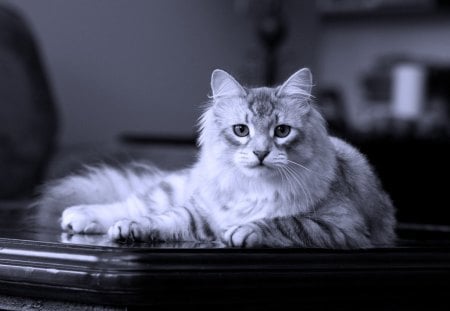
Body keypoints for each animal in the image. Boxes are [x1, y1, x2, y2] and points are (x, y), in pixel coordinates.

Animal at [33, 68, 396, 249]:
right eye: (241, 130)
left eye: (281, 131)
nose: (261, 153)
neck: (254, 188)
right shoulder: (203, 212)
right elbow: (162, 219)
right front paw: (132, 230)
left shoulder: (342, 228)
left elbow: (284, 222)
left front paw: (244, 231)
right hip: (173, 191)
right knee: (130, 204)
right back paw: (80, 215)